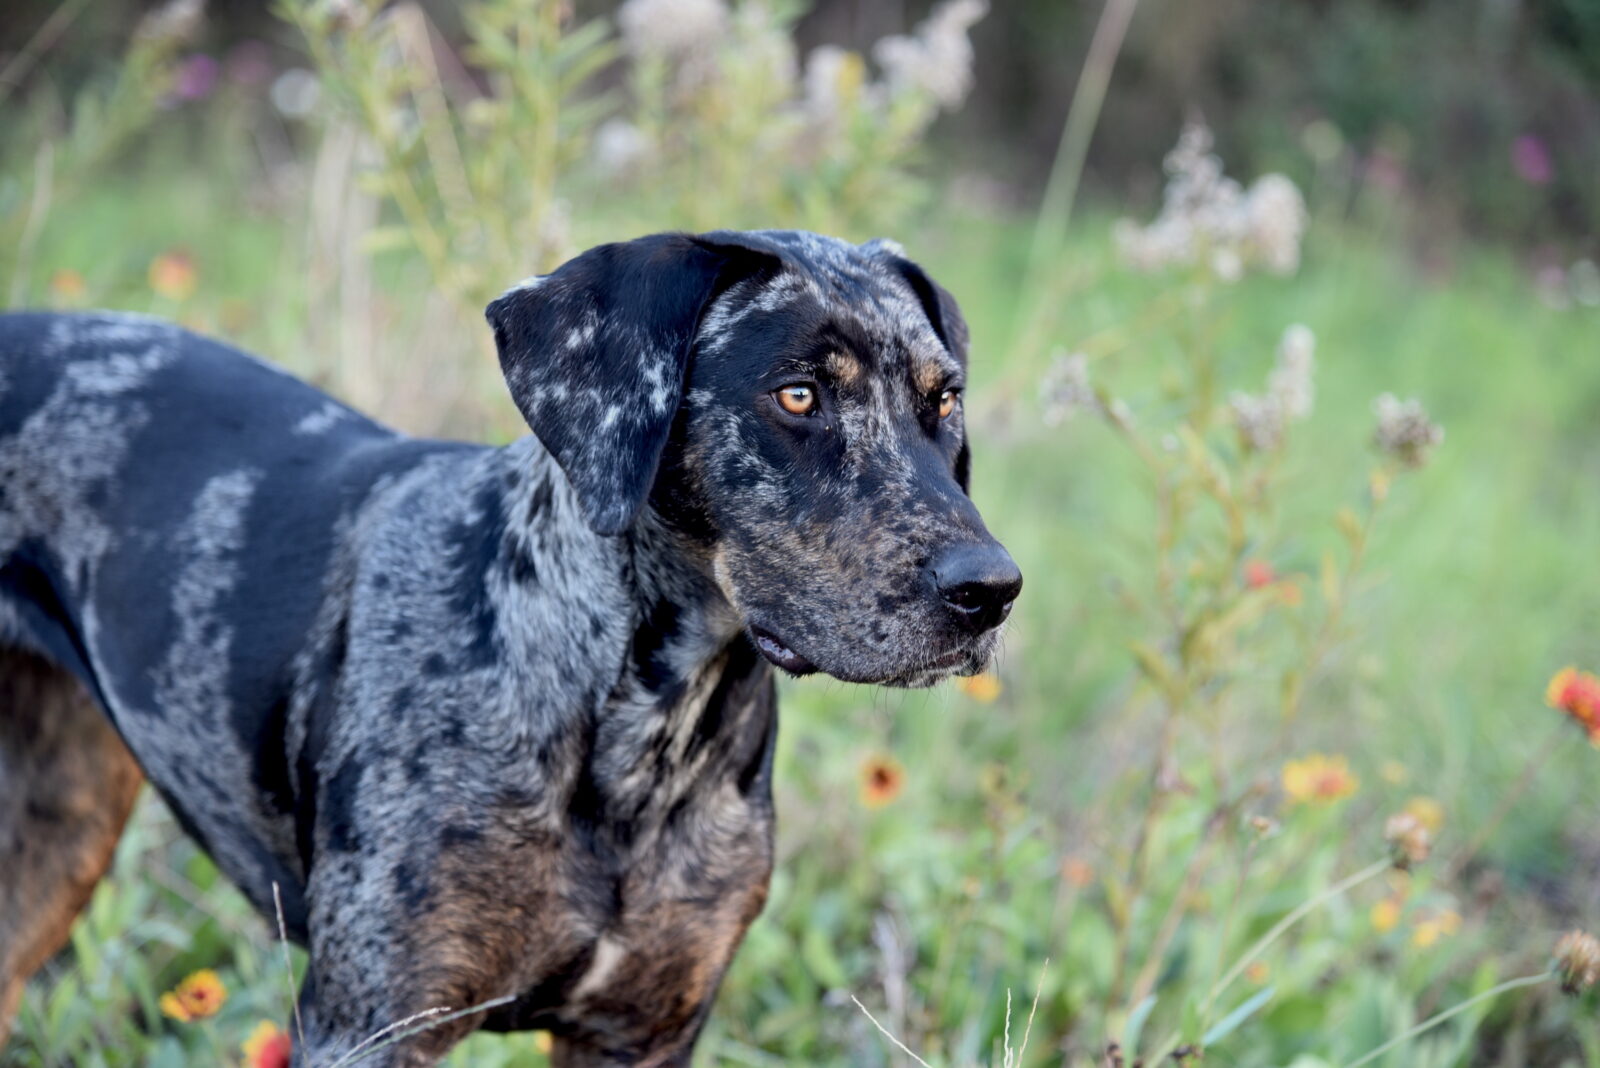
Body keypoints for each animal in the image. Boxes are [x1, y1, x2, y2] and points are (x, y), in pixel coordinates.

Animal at [0, 233, 1017, 1068]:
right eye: (797, 394)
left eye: (945, 401)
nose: (990, 590)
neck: (640, 733)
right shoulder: (372, 1025)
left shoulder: (641, 1033)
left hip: (57, 838)